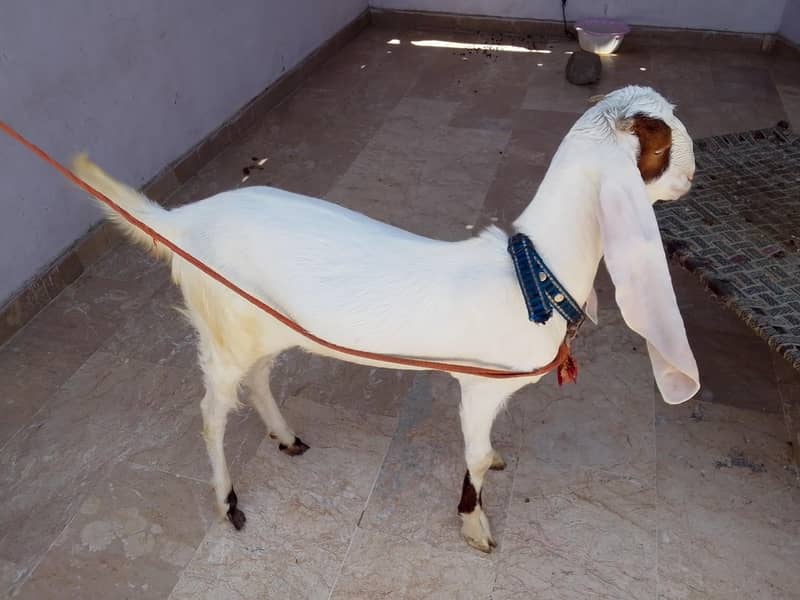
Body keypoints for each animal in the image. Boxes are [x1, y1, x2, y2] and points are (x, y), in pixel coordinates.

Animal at [72, 85, 699, 553]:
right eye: (662, 143)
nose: (693, 176)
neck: (534, 271)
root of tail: (181, 223)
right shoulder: (478, 385)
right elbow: (472, 455)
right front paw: (474, 525)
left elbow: (484, 449)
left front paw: (492, 468)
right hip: (222, 331)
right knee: (210, 415)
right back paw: (228, 502)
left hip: (265, 326)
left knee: (260, 378)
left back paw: (285, 436)